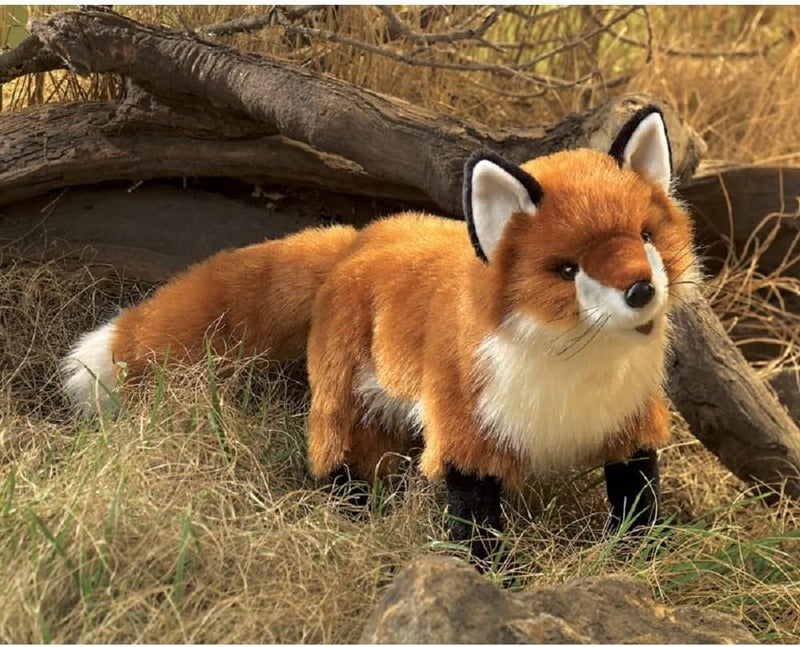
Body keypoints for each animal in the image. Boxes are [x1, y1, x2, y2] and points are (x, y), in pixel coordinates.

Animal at [62, 105, 698, 560]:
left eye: (645, 236)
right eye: (568, 269)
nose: (640, 290)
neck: (574, 379)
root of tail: (360, 236)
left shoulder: (631, 425)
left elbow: (638, 501)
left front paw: (645, 560)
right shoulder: (468, 434)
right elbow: (477, 525)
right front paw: (496, 581)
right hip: (346, 405)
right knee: (338, 462)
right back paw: (353, 515)